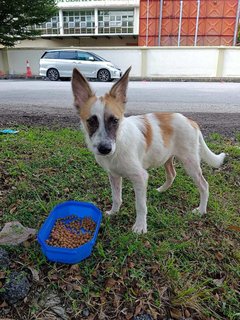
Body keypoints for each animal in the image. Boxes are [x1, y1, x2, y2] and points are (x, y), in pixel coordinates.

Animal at [71, 66, 225, 234]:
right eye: (91, 121)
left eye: (115, 120)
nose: (105, 149)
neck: (119, 143)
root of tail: (191, 121)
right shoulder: (114, 175)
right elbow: (116, 197)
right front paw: (114, 212)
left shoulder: (140, 177)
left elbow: (140, 205)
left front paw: (140, 227)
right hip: (166, 156)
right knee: (172, 174)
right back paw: (162, 190)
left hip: (190, 163)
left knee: (204, 185)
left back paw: (201, 210)